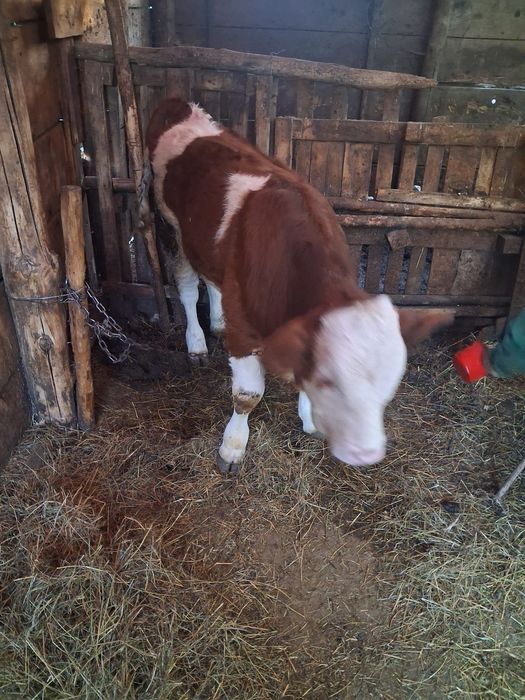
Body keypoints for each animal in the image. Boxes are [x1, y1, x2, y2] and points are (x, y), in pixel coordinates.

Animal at [144, 98, 452, 474]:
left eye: (388, 384)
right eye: (329, 381)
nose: (365, 453)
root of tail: (178, 104)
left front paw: (309, 419)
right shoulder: (244, 327)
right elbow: (247, 396)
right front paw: (232, 446)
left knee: (212, 278)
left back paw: (216, 321)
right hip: (170, 226)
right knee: (188, 287)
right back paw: (197, 343)